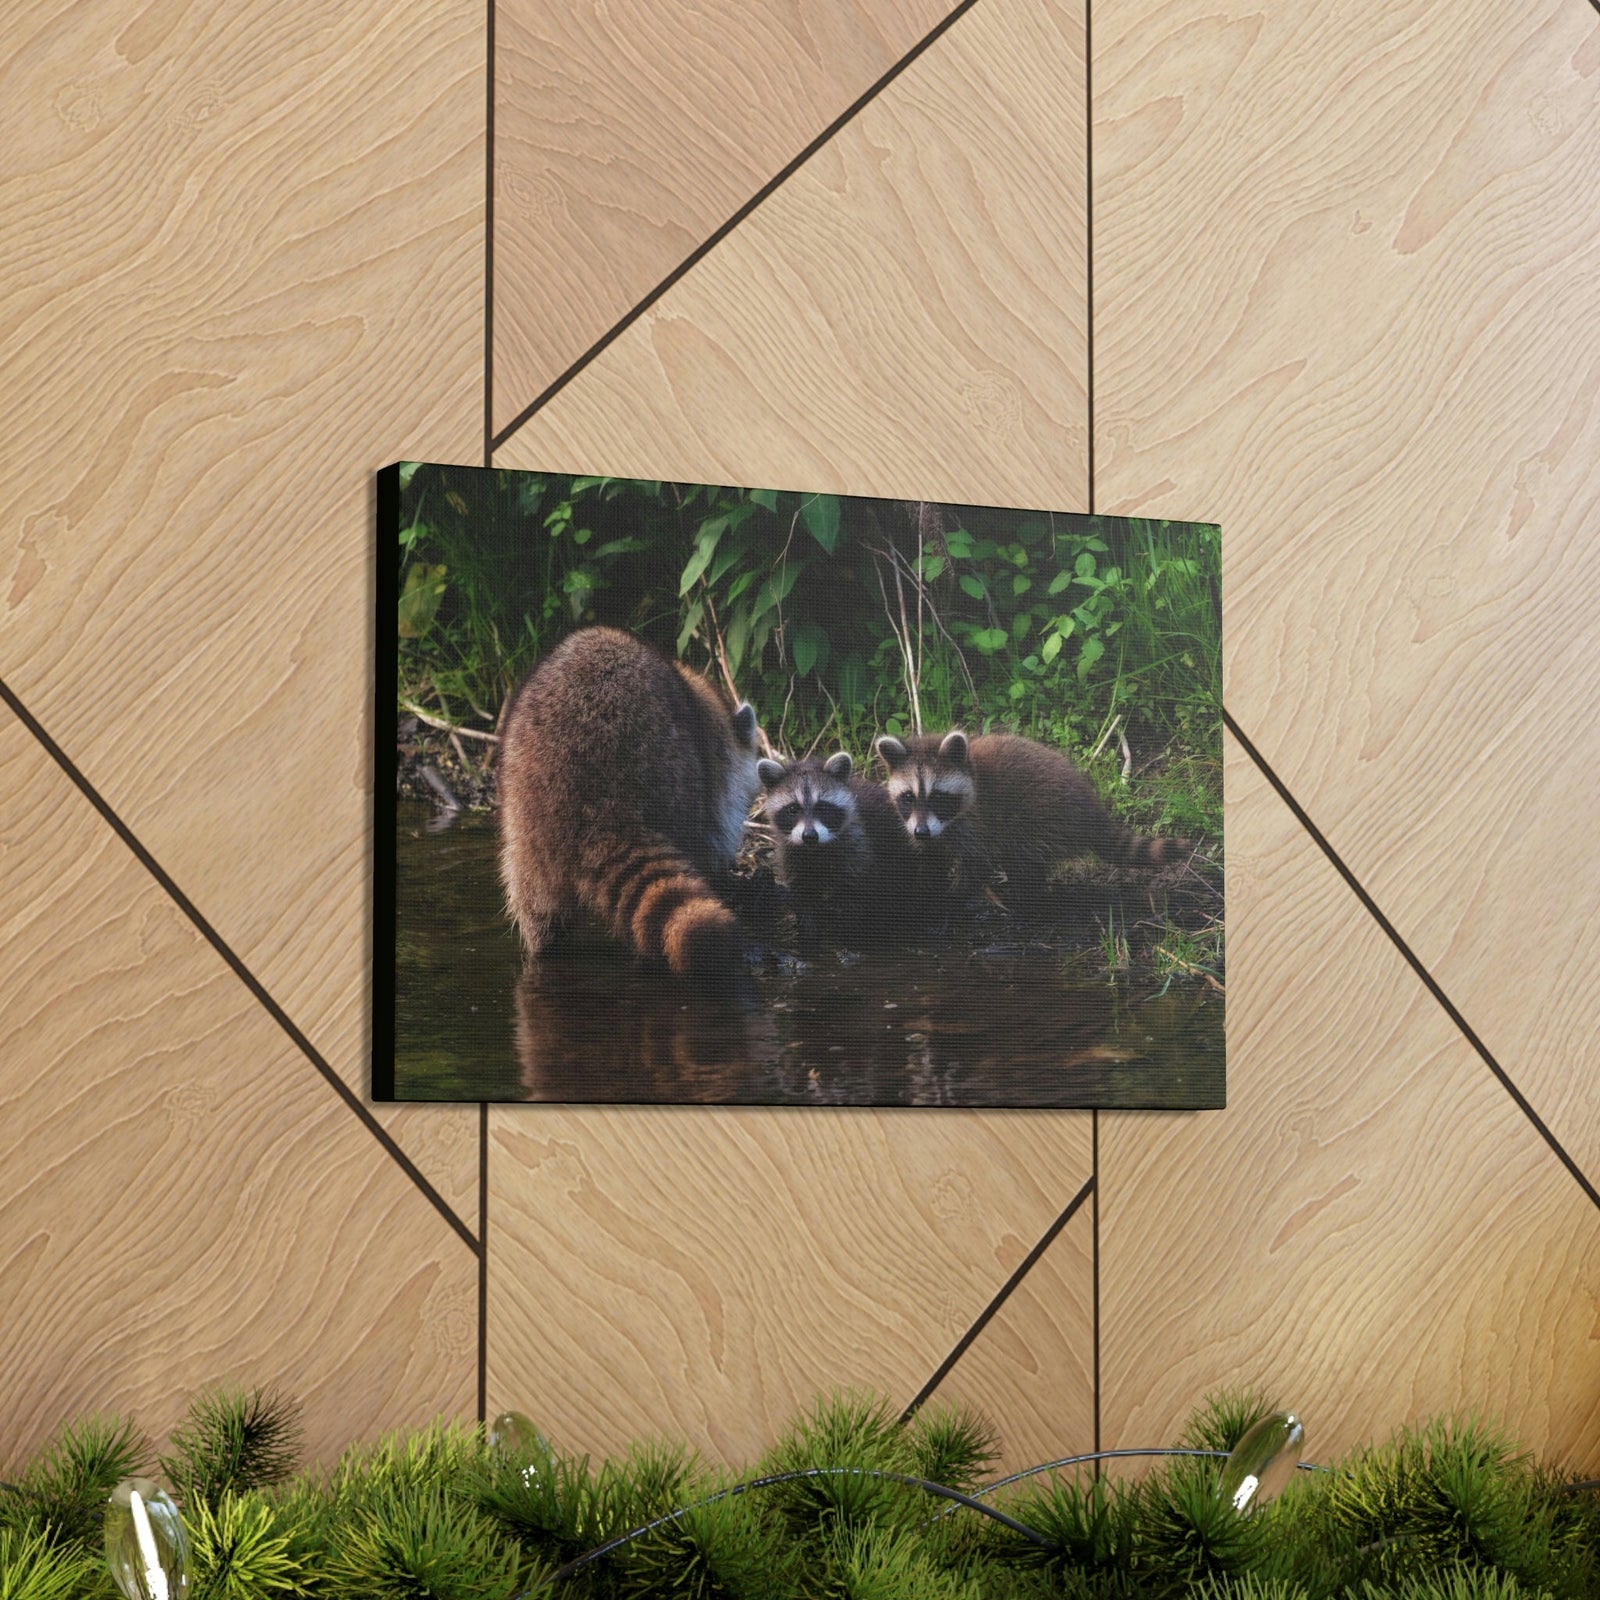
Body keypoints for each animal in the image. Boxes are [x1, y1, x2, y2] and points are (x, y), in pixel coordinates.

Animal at [756, 751, 920, 942]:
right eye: (793, 809)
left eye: (823, 807)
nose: (809, 836)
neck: (816, 849)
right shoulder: (792, 855)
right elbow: (803, 895)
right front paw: (808, 929)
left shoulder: (857, 849)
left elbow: (855, 897)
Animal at [874, 730, 1185, 904]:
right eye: (908, 797)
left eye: (938, 796)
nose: (921, 832)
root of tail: (1090, 806)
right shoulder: (926, 828)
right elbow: (931, 858)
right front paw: (925, 888)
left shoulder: (978, 824)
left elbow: (978, 864)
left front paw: (955, 895)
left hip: (1043, 819)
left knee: (1023, 856)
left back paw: (1025, 894)